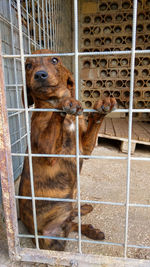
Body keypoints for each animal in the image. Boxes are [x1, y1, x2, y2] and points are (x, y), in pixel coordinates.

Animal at [18, 49, 116, 251]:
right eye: (28, 65)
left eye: (55, 60)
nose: (40, 75)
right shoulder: (49, 152)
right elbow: (58, 113)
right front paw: (66, 103)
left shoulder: (84, 149)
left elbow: (95, 122)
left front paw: (102, 106)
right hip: (53, 241)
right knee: (70, 224)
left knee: (72, 220)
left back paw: (87, 220)